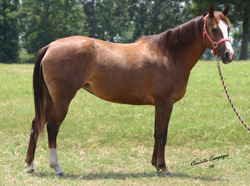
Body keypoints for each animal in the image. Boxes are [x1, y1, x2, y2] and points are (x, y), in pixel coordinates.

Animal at [25, 4, 234, 176]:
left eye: (229, 28)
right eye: (214, 29)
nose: (229, 55)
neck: (169, 54)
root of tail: (50, 46)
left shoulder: (159, 104)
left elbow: (156, 132)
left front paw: (156, 165)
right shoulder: (165, 103)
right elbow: (162, 134)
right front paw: (164, 167)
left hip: (49, 99)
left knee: (36, 124)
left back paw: (30, 165)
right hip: (62, 99)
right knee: (52, 127)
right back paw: (57, 168)